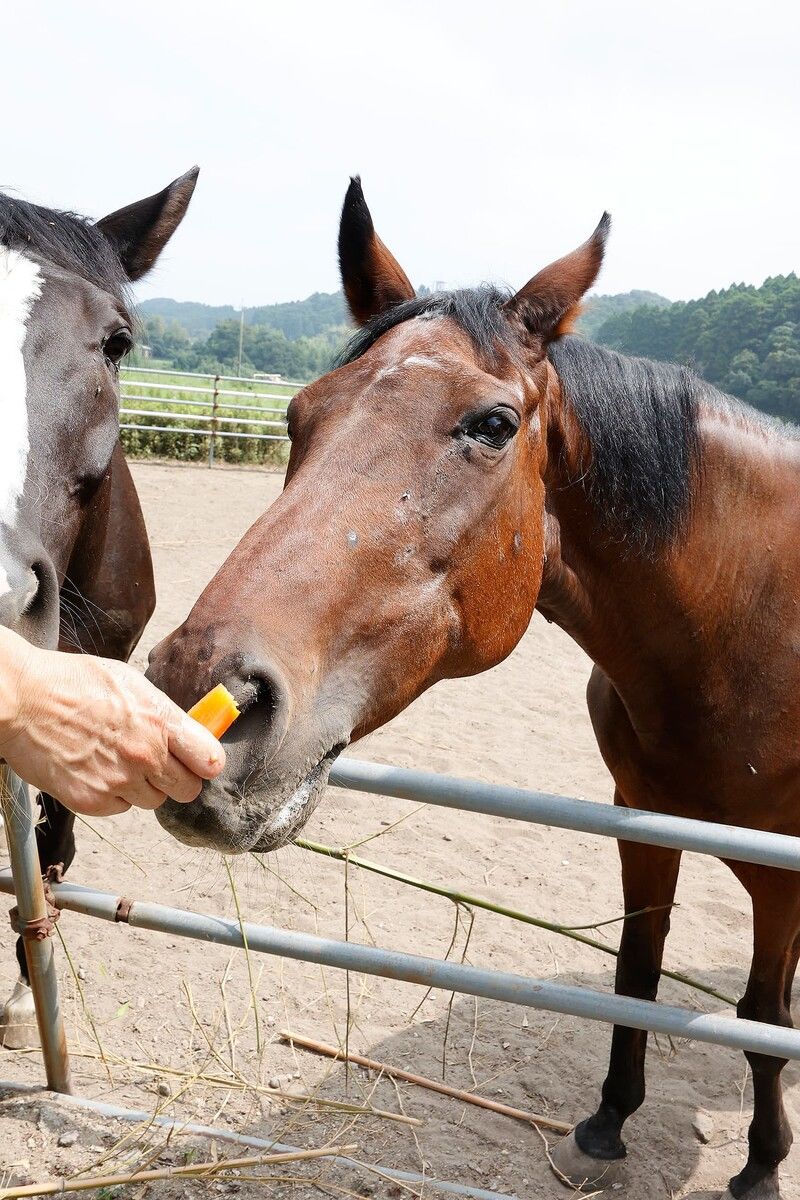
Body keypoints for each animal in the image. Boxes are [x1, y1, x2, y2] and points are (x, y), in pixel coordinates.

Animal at [147, 177, 800, 1200]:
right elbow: (638, 974)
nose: (200, 693)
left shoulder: (781, 875)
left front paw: (763, 1164)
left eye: (492, 425)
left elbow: (764, 1018)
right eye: (297, 417)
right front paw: (608, 1121)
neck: (750, 627)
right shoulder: (643, 817)